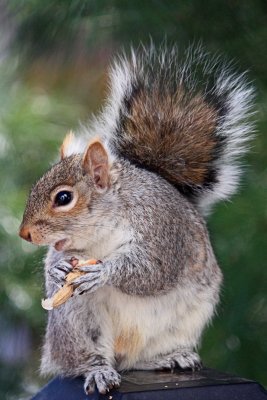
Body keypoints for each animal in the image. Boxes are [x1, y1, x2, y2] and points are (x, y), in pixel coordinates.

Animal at [19, 43, 255, 394]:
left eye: (63, 198)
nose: (24, 234)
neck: (104, 233)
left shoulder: (162, 231)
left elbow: (150, 270)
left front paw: (103, 272)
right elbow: (56, 259)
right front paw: (58, 269)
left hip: (179, 324)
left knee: (139, 360)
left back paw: (171, 358)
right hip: (78, 325)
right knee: (92, 359)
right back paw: (100, 371)